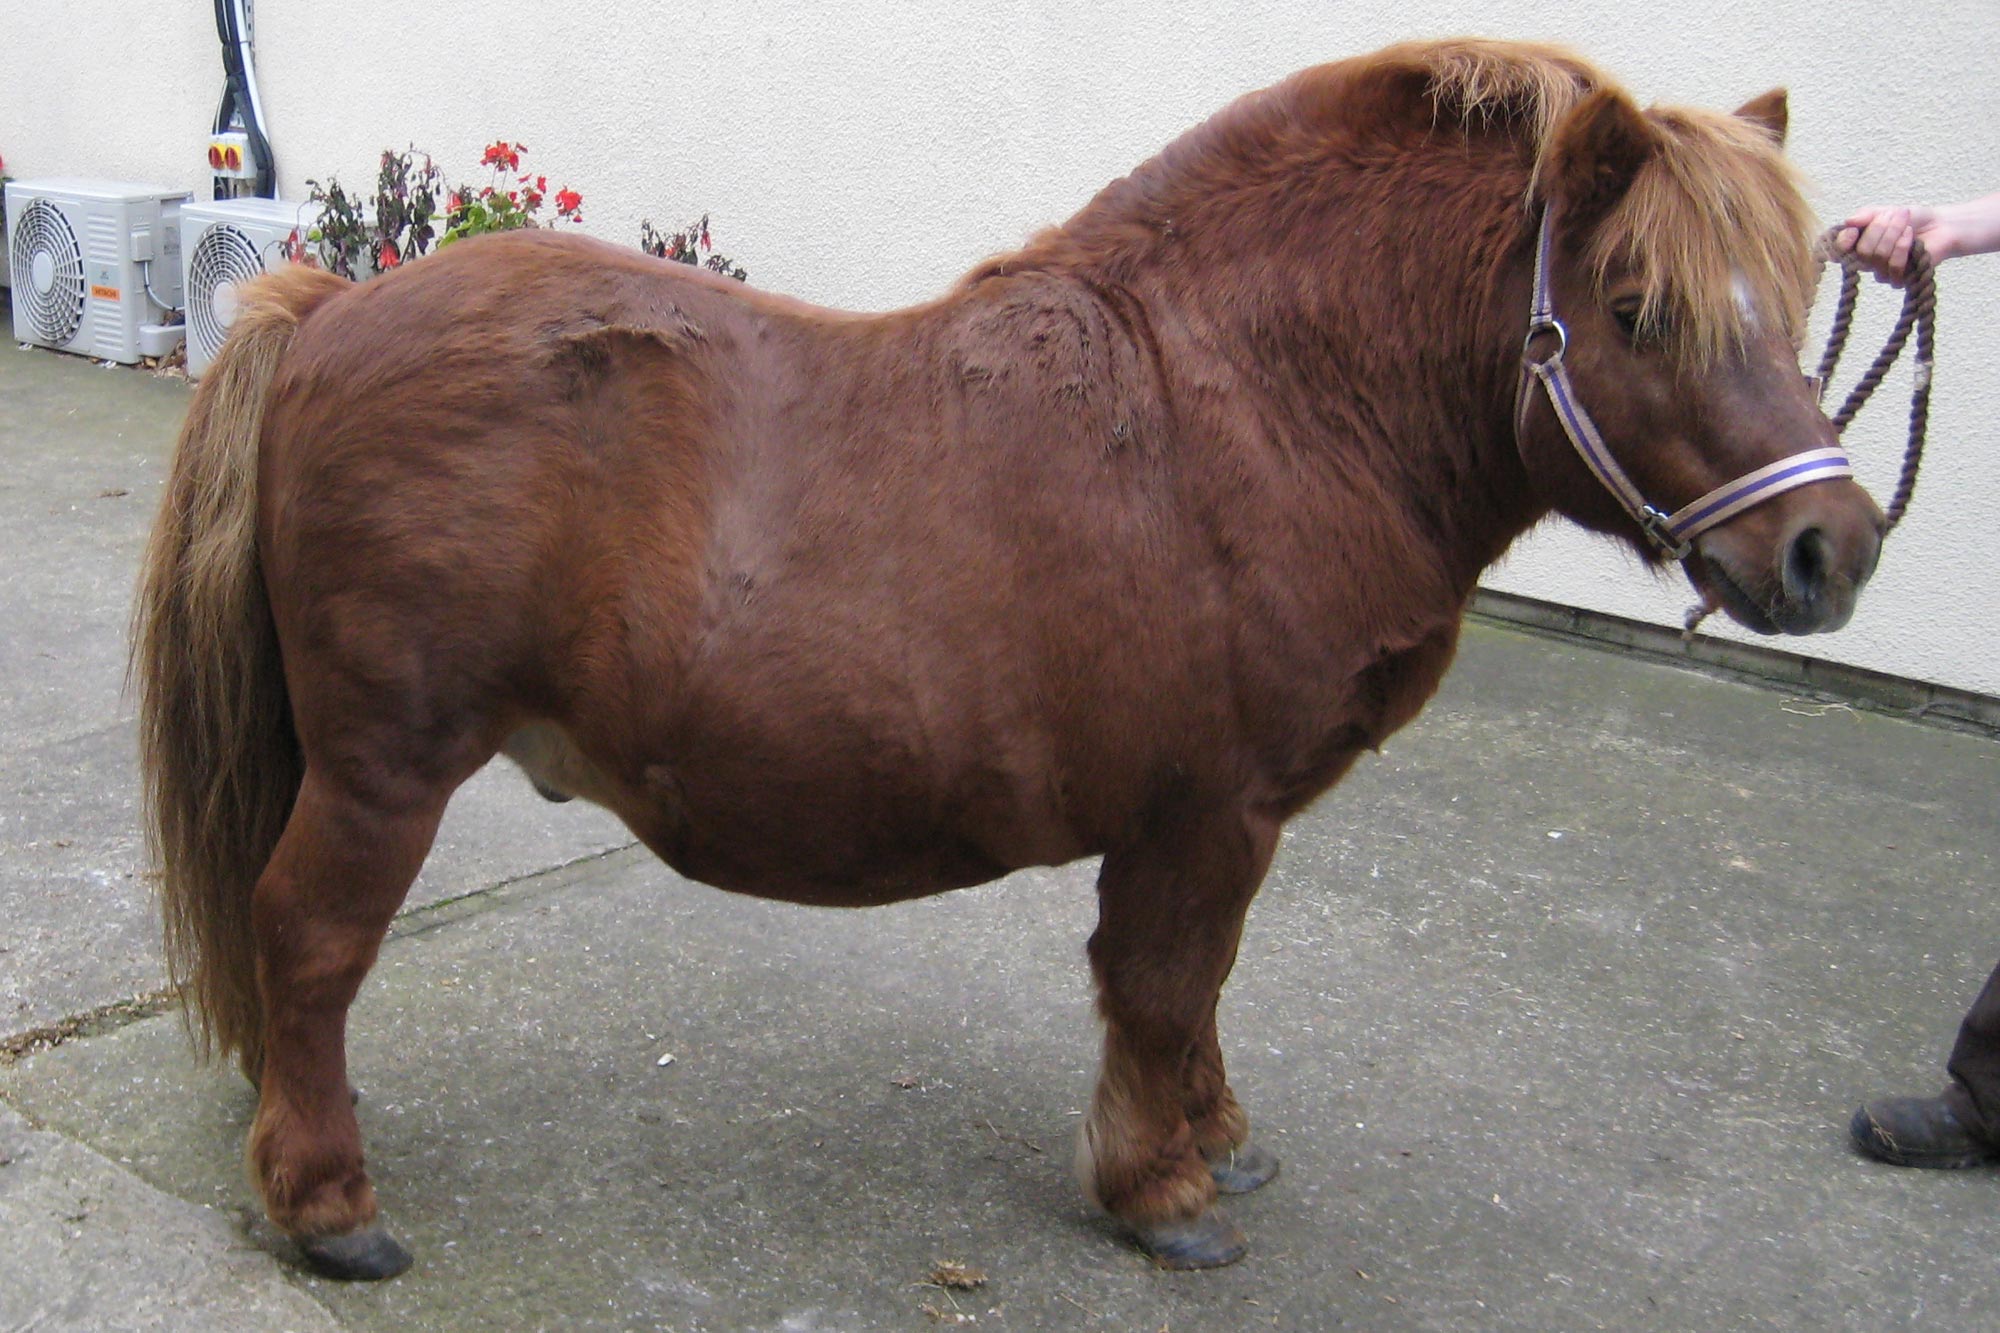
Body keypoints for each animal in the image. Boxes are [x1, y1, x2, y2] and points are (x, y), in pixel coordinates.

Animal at [135, 38, 1886, 1280]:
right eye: (1638, 307)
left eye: (1798, 298)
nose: (1836, 549)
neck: (1249, 402)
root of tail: (322, 311)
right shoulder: (1206, 815)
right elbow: (1164, 990)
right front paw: (1163, 1188)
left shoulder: (1223, 821)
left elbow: (1195, 994)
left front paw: (1216, 1138)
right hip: (386, 769)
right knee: (306, 942)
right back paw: (329, 1205)